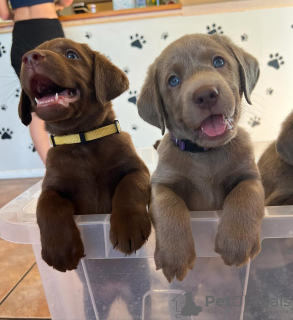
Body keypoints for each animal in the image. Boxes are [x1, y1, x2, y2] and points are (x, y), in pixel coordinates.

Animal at [18, 38, 151, 272]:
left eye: (71, 55)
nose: (30, 57)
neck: (83, 140)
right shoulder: (52, 185)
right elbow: (47, 204)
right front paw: (60, 248)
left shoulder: (137, 169)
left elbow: (130, 185)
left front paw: (129, 226)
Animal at [137, 33, 264, 282]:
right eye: (173, 81)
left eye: (218, 62)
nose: (205, 94)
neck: (206, 154)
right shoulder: (160, 184)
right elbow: (169, 205)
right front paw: (175, 255)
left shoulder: (251, 175)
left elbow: (246, 194)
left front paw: (237, 242)